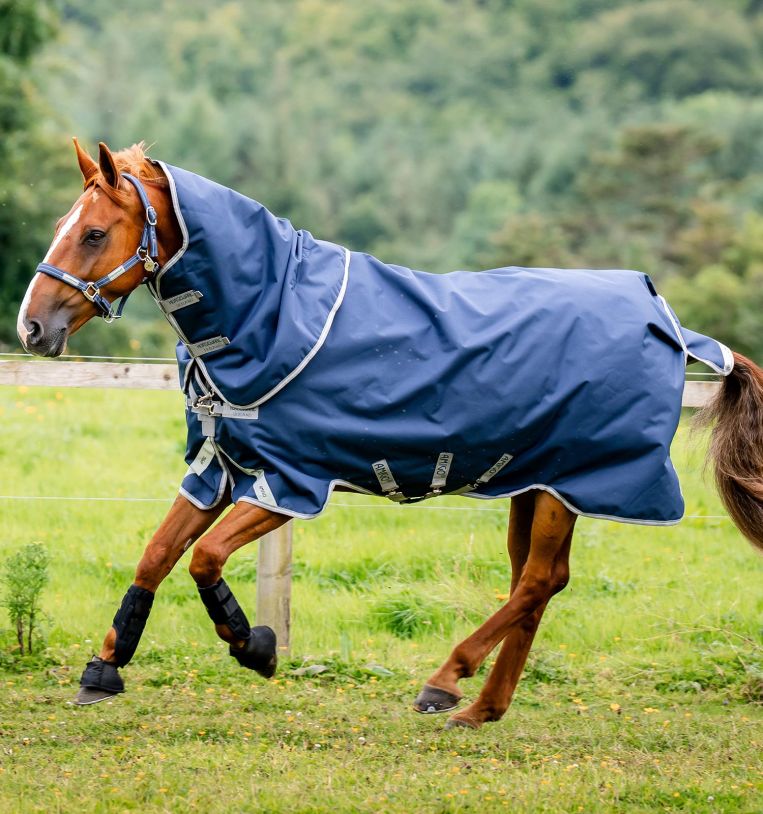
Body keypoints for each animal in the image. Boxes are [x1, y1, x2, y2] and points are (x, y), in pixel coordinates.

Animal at [16, 139, 763, 729]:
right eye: (60, 224)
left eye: (92, 233)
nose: (33, 326)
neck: (272, 314)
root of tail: (665, 318)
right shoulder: (221, 466)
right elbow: (155, 554)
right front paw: (103, 669)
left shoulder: (290, 481)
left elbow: (204, 558)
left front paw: (253, 645)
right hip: (536, 481)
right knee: (539, 583)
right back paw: (479, 708)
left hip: (569, 482)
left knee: (535, 583)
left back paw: (445, 682)